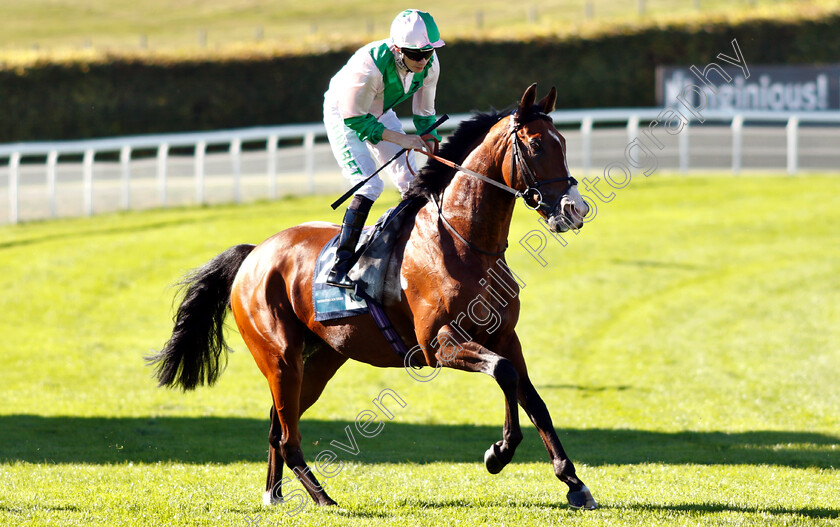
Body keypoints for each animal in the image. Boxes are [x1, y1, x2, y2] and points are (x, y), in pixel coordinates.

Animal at [148, 83, 600, 512]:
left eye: (563, 142)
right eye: (537, 145)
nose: (575, 209)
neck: (462, 241)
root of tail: (255, 252)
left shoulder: (505, 336)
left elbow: (532, 398)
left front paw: (574, 483)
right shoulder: (439, 344)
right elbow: (504, 374)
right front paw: (499, 452)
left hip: (319, 361)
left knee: (279, 425)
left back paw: (273, 494)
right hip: (279, 357)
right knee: (289, 436)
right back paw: (323, 498)